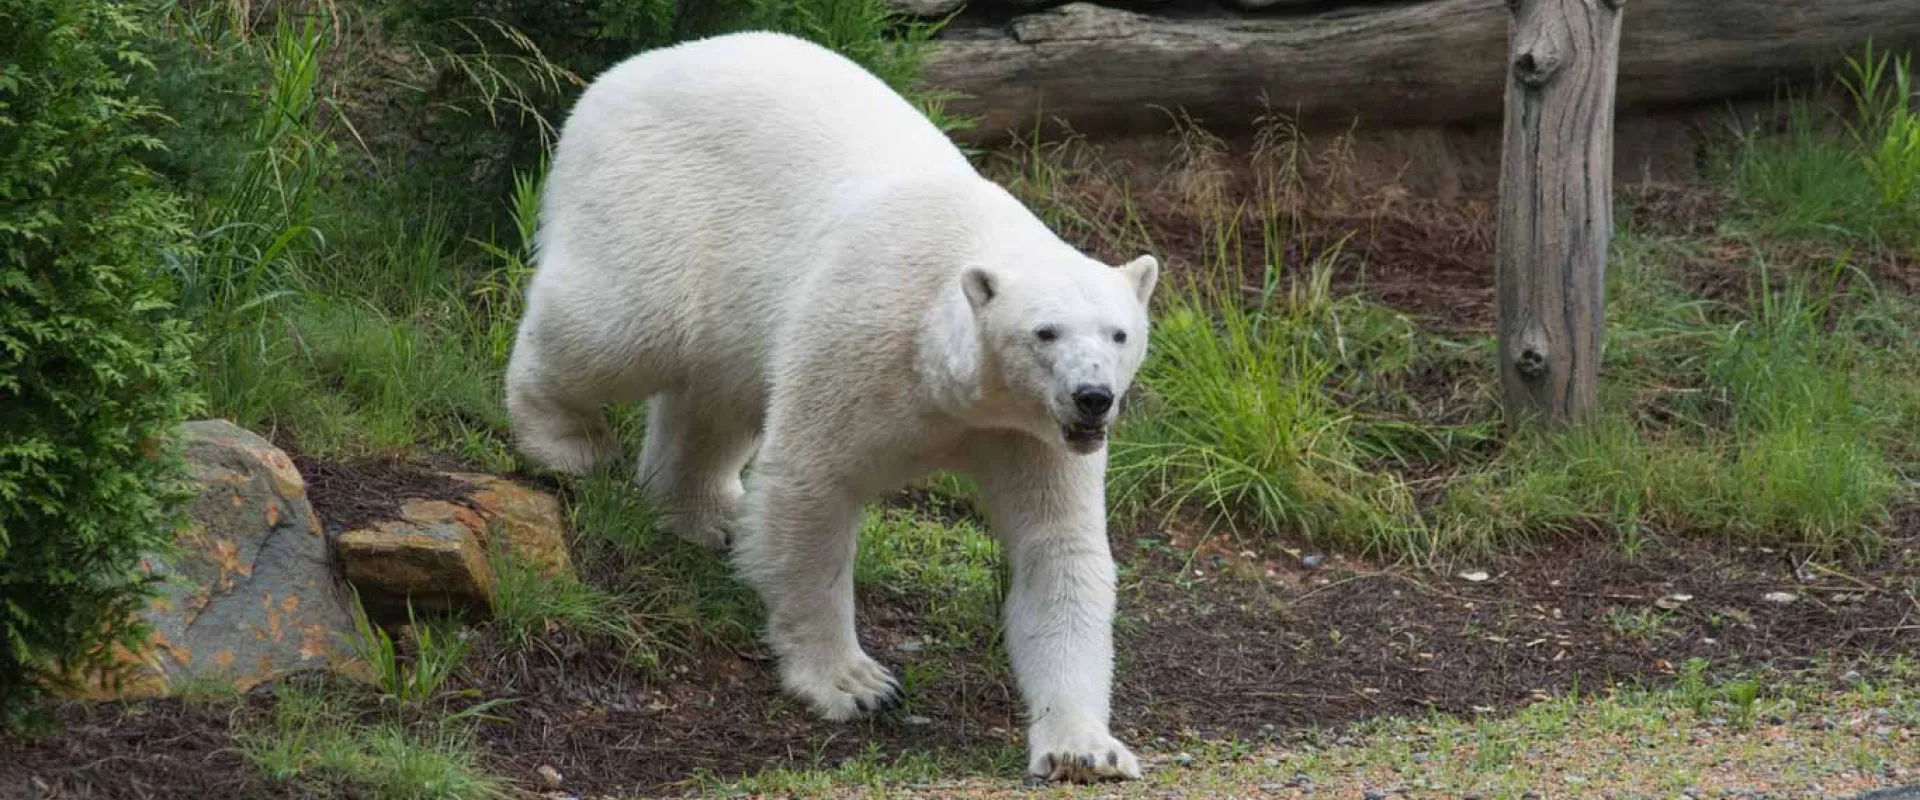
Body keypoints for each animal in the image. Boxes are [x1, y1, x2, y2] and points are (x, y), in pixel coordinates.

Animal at [503, 31, 1158, 783]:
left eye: (1119, 334)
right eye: (1045, 332)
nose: (1093, 398)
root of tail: (621, 74)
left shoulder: (1032, 433)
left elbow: (1059, 550)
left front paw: (1084, 747)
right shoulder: (859, 345)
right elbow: (810, 491)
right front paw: (855, 683)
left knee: (712, 396)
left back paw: (701, 512)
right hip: (655, 203)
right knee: (619, 326)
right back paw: (562, 440)